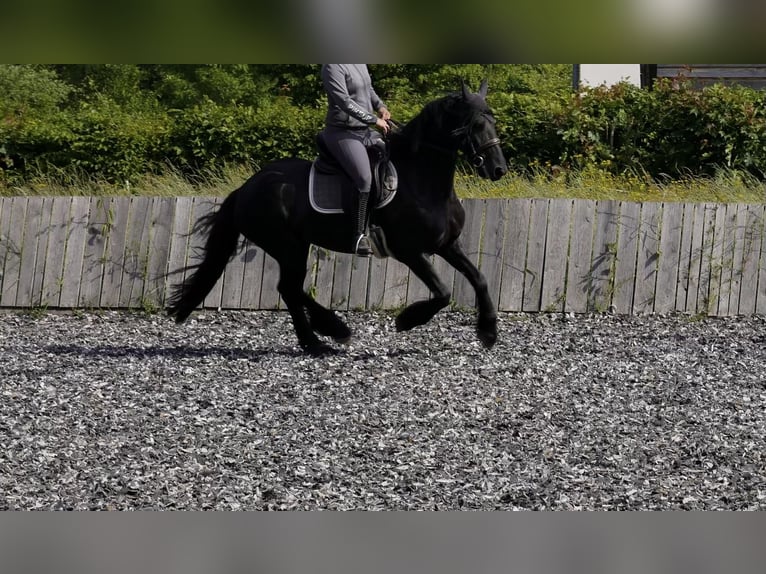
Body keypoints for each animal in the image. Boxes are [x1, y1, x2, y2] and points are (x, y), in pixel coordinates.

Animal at [167, 80, 508, 355]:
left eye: (493, 121)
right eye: (475, 125)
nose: (498, 170)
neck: (421, 181)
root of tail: (246, 188)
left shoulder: (447, 245)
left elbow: (479, 279)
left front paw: (488, 332)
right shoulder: (409, 251)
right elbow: (443, 292)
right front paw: (406, 321)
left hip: (296, 246)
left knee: (289, 289)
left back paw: (316, 339)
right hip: (287, 246)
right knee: (289, 288)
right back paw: (331, 332)